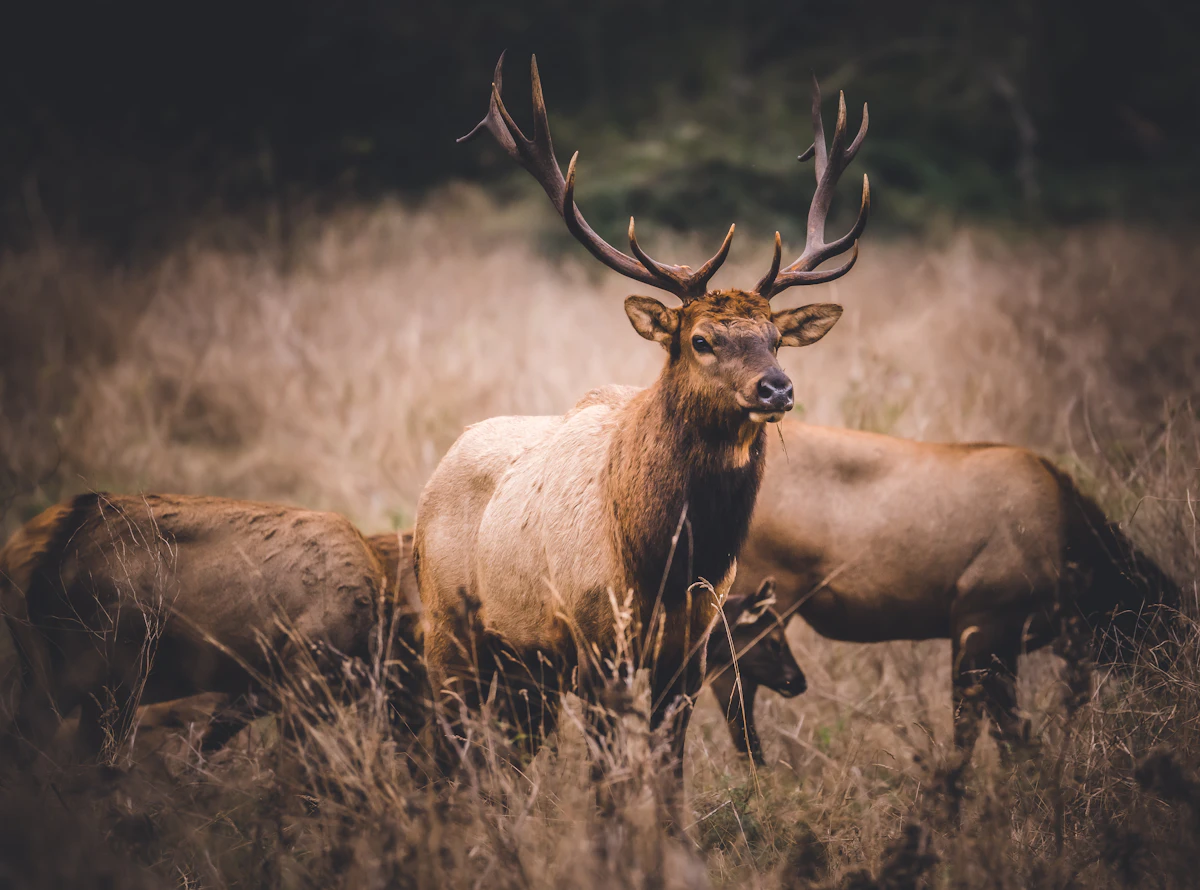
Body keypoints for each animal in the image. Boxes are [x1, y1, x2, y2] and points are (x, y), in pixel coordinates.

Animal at [414, 54, 868, 819]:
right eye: (701, 339)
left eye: (776, 338)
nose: (777, 390)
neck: (666, 563)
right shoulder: (596, 652)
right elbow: (606, 788)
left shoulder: (685, 658)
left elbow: (668, 777)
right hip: (450, 629)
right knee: (449, 748)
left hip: (524, 671)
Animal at [722, 423, 1182, 756]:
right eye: (1167, 629)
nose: (1175, 689)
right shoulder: (979, 626)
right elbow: (981, 735)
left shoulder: (999, 644)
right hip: (755, 603)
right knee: (733, 698)